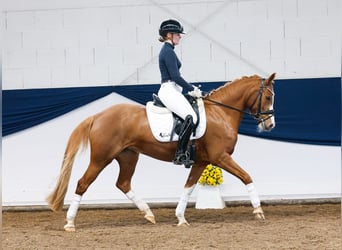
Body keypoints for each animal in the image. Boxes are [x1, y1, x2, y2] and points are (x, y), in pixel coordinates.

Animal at [47, 72, 276, 230]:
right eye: (267, 97)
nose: (270, 125)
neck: (220, 112)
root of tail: (97, 116)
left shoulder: (202, 161)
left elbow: (188, 187)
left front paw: (181, 218)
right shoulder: (220, 157)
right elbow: (246, 176)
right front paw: (258, 210)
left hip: (128, 156)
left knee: (123, 183)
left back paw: (149, 214)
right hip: (101, 158)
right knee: (83, 183)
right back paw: (70, 223)